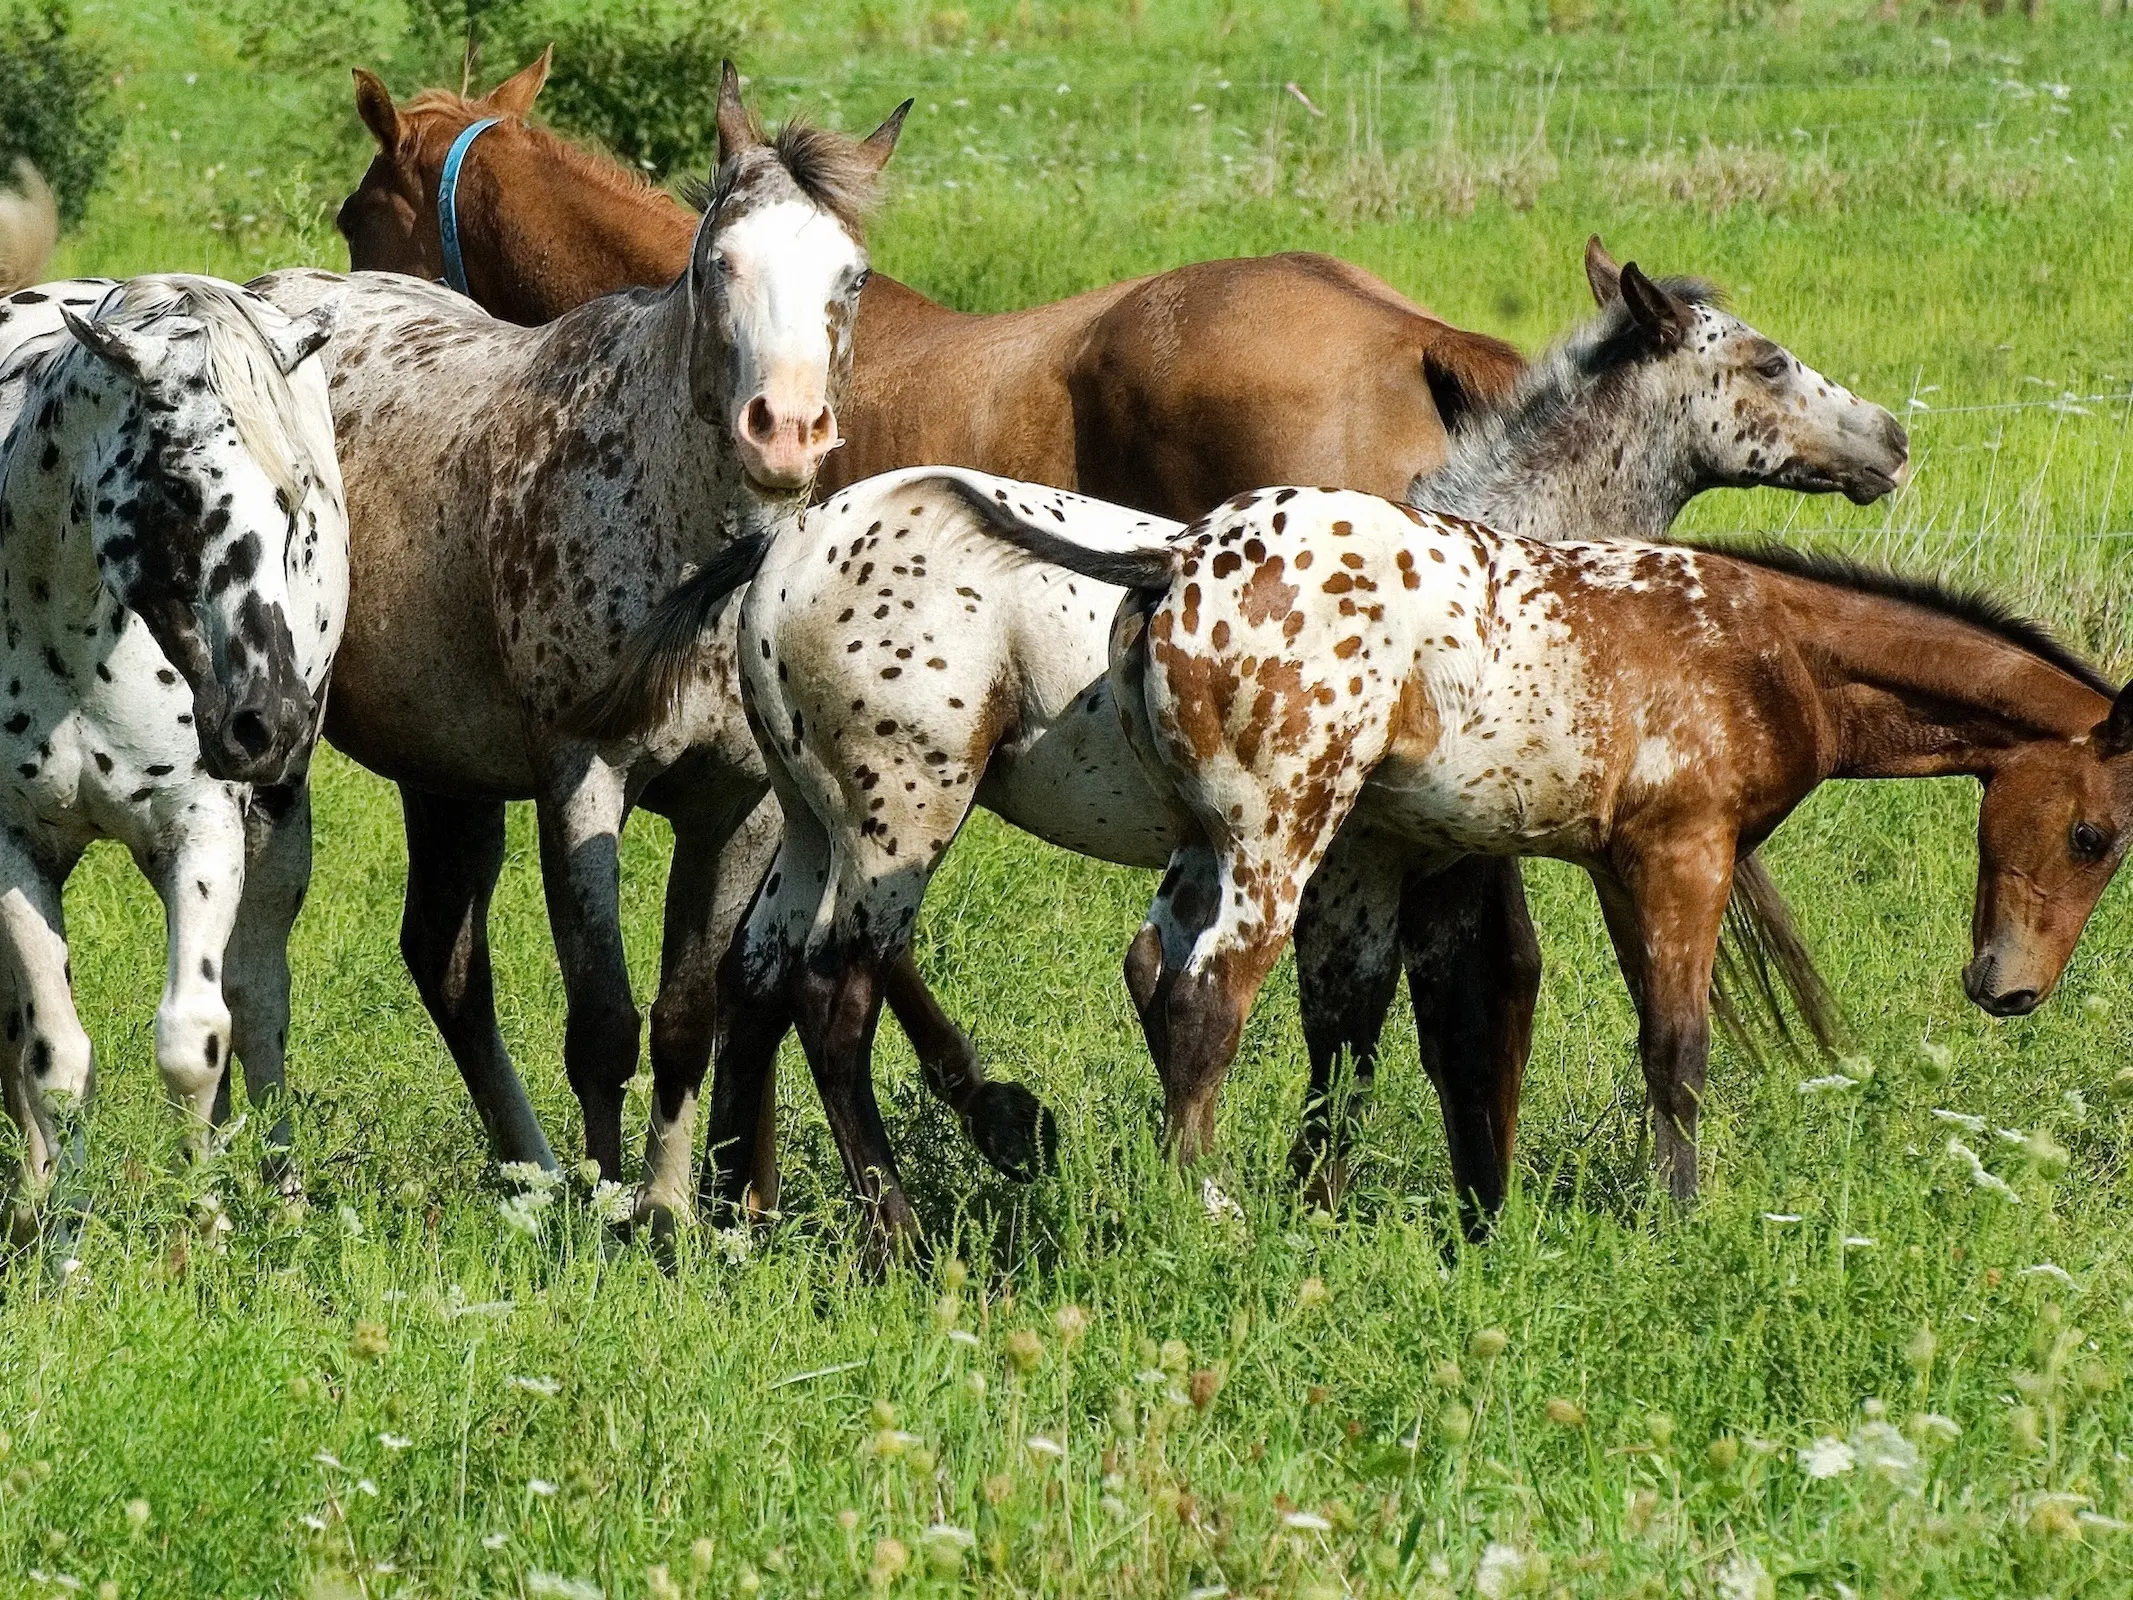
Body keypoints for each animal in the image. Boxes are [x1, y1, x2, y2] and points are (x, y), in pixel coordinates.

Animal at [0, 275, 347, 1254]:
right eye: (182, 488)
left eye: (293, 498)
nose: (267, 721)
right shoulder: (13, 849)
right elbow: (54, 1059)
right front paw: (65, 1244)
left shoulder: (202, 835)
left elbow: (195, 1040)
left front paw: (209, 1228)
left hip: (277, 835)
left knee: (257, 1001)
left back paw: (282, 1190)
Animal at [249, 68, 917, 1211]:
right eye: (716, 261)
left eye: (854, 275)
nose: (785, 430)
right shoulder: (582, 779)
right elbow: (602, 1026)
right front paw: (606, 1216)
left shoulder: (735, 810)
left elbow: (688, 1018)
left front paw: (666, 1212)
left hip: (444, 771)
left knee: (443, 958)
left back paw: (530, 1172)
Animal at [584, 250, 1919, 1262]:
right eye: (1763, 360)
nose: (1892, 440)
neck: (1479, 575)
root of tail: (778, 556)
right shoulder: (1385, 860)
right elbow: (1454, 1006)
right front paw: (1439, 1207)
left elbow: (1322, 1005)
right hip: (898, 820)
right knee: (833, 992)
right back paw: (898, 1228)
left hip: (813, 824)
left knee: (755, 980)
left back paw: (736, 1218)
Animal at [955, 482, 2133, 1211]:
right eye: (2096, 835)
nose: (2007, 987)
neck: (1770, 648)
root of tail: (1179, 556)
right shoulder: (1683, 855)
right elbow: (1679, 1048)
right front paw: (1678, 1218)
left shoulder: (1621, 868)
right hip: (1274, 838)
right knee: (1207, 1002)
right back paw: (1202, 1209)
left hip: (1216, 841)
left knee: (1161, 979)